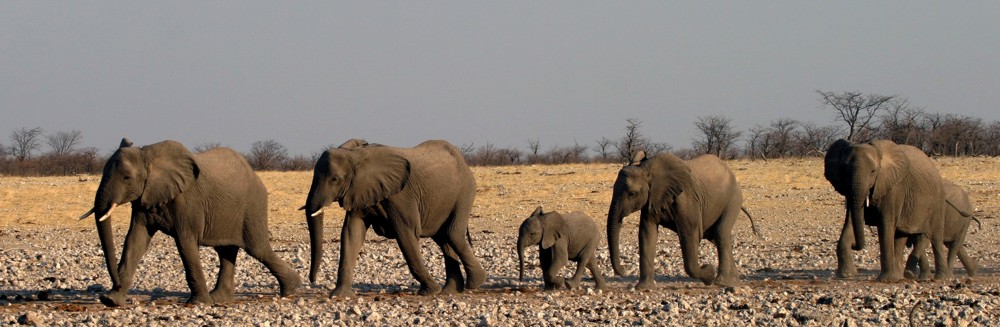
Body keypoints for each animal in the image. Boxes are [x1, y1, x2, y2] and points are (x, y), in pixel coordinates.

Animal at [79, 139, 298, 308]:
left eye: (127, 178)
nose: (114, 283)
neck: (147, 156)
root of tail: (255, 174)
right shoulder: (145, 198)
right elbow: (135, 240)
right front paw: (110, 300)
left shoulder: (188, 200)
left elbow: (185, 243)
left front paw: (199, 303)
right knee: (226, 250)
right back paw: (219, 298)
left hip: (252, 206)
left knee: (257, 249)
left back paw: (292, 288)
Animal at [300, 140, 484, 298]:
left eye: (334, 180)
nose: (312, 280)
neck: (356, 155)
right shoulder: (359, 191)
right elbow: (352, 234)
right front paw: (339, 295)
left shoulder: (401, 196)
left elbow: (406, 234)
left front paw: (430, 291)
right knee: (443, 238)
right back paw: (451, 291)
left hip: (465, 191)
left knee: (452, 233)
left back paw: (475, 283)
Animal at [600, 151, 756, 290]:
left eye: (632, 193)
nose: (624, 270)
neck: (647, 169)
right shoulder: (651, 200)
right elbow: (646, 234)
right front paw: (643, 288)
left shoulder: (686, 199)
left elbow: (690, 234)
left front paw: (709, 273)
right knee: (719, 237)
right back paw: (733, 282)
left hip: (733, 199)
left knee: (721, 233)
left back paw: (721, 282)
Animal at [824, 138, 948, 282]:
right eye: (844, 170)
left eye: (873, 171)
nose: (854, 245)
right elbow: (850, 221)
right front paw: (846, 275)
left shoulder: (894, 187)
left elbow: (885, 224)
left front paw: (886, 280)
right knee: (901, 235)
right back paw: (900, 276)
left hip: (938, 201)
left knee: (936, 238)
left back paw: (941, 278)